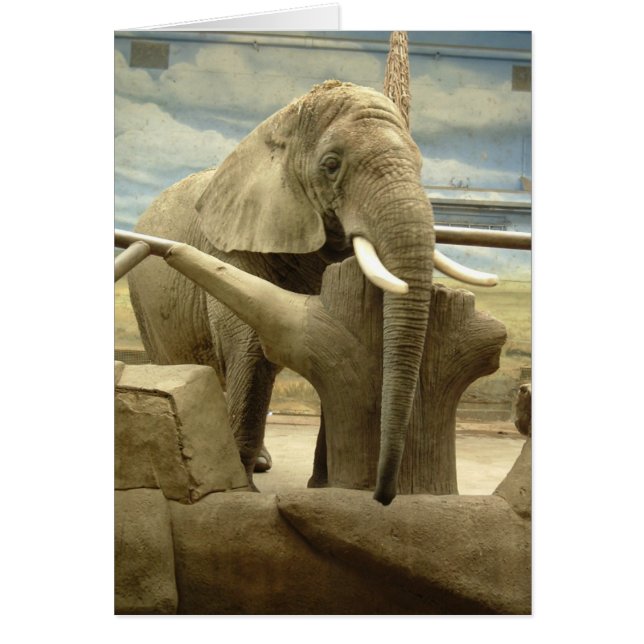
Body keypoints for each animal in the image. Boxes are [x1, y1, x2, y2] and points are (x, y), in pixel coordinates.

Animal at [128, 80, 478, 504]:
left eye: (420, 164)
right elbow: (252, 348)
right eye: (331, 165)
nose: (383, 497)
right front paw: (243, 490)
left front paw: (326, 487)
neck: (283, 123)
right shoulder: (229, 240)